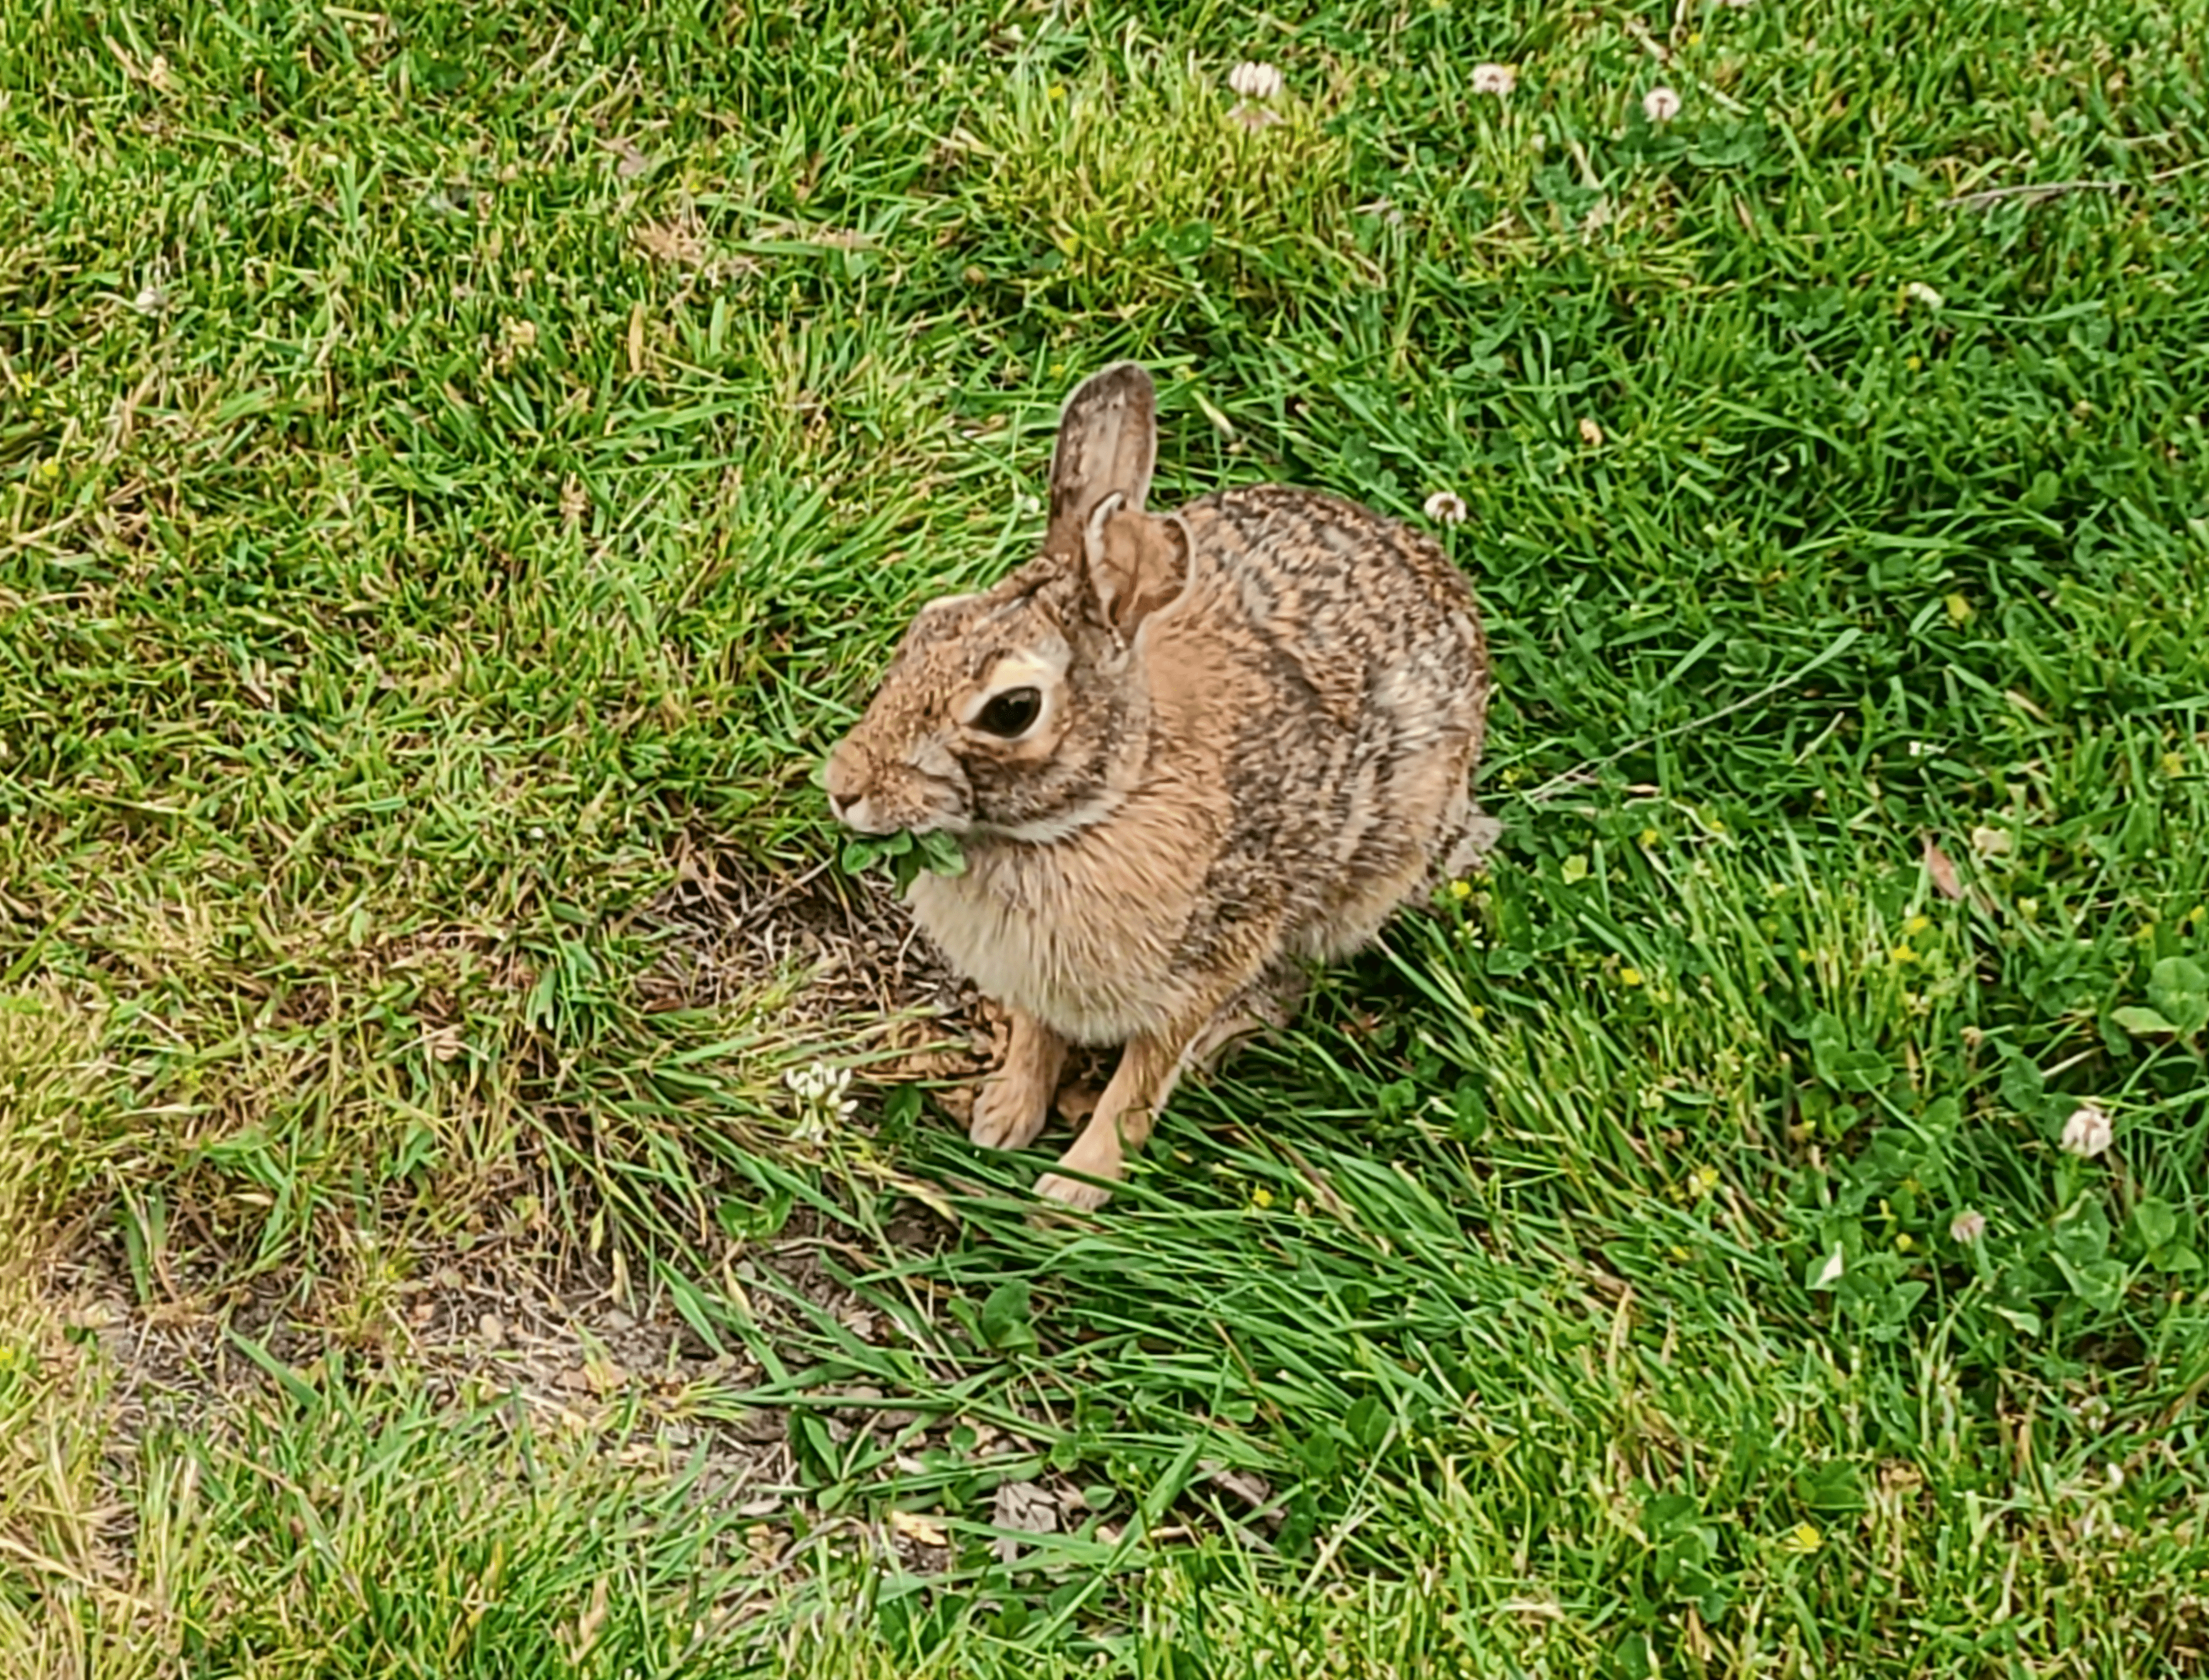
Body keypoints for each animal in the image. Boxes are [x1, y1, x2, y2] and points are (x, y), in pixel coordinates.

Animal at [822, 363, 1493, 1209]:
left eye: (1012, 709)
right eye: (924, 626)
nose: (842, 785)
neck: (1096, 805)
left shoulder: (1206, 960)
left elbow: (1139, 1085)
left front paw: (1072, 1189)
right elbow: (1038, 1037)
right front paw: (1004, 1115)